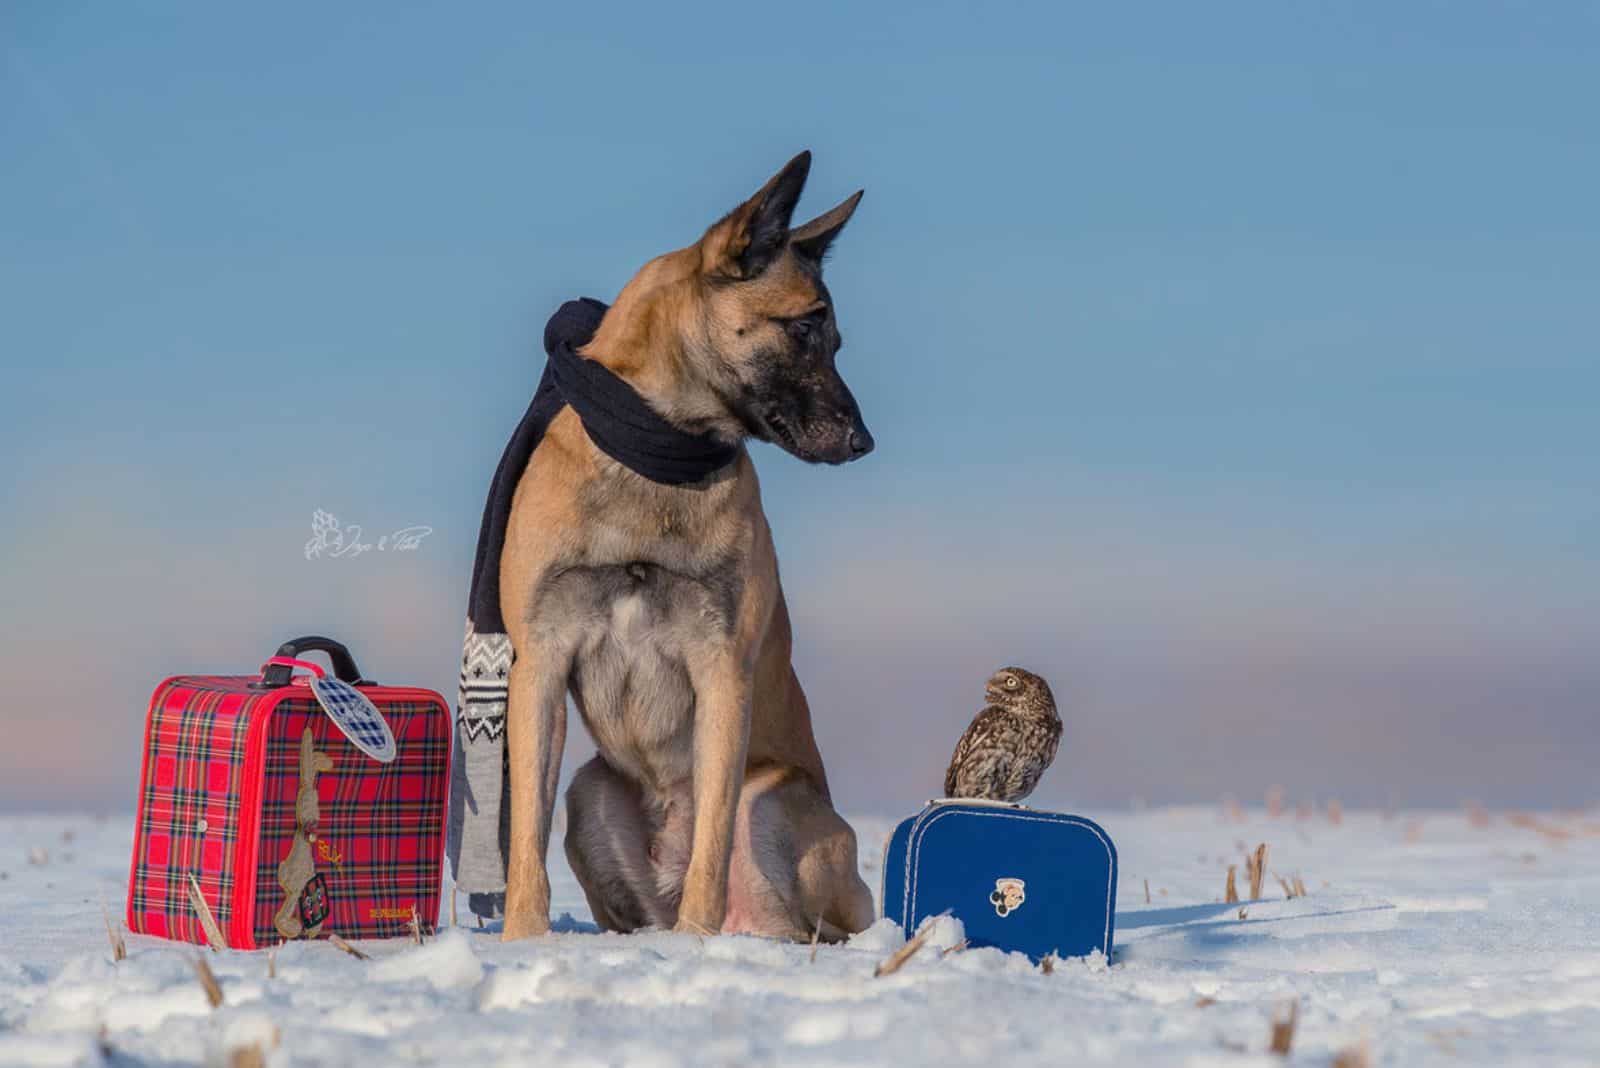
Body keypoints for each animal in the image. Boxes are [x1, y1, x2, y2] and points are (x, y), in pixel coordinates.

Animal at [499, 151, 876, 940]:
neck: (658, 454)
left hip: (772, 802)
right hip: (590, 793)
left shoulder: (722, 672)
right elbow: (525, 842)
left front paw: (696, 944)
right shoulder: (539, 666)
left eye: (833, 340)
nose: (864, 443)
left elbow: (712, 839)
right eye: (804, 329)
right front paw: (521, 941)